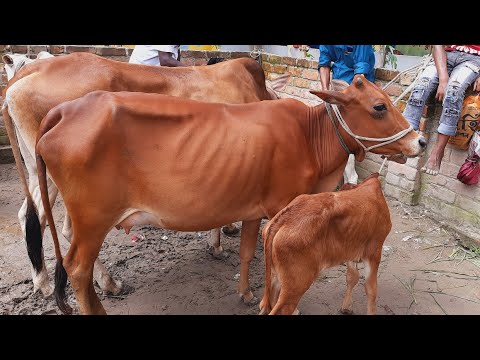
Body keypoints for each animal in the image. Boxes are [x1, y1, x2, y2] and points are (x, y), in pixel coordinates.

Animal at [1, 50, 284, 298]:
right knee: (62, 228)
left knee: (30, 216)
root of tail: (28, 71)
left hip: (38, 170)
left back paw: (44, 281)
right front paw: (218, 243)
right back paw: (107, 283)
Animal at [34, 74, 424, 314]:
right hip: (92, 220)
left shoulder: (255, 210)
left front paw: (247, 294)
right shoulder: (281, 206)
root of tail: (66, 109)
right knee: (76, 269)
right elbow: (275, 268)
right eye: (379, 106)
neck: (309, 135)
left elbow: (249, 252)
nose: (419, 141)